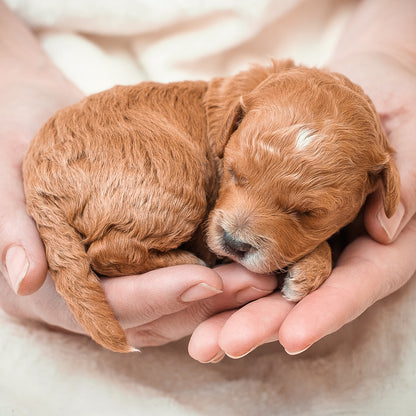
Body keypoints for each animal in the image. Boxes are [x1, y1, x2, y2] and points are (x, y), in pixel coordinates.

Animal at [22, 59, 400, 352]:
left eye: (308, 213)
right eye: (233, 173)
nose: (234, 243)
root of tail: (37, 180)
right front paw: (312, 265)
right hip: (176, 181)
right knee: (108, 251)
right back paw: (186, 261)